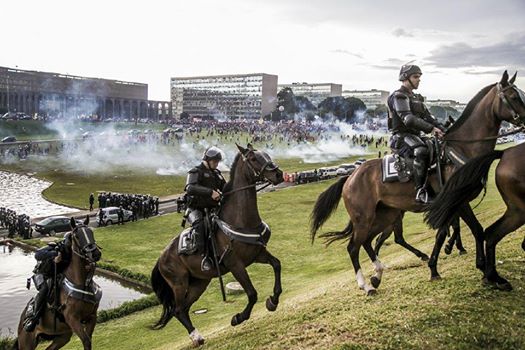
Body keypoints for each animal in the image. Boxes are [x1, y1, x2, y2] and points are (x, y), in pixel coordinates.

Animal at [13, 216, 102, 350]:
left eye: (91, 232)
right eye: (77, 235)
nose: (95, 253)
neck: (82, 283)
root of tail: (22, 319)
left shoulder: (92, 316)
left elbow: (88, 340)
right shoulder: (73, 319)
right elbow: (86, 341)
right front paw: (56, 257)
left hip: (62, 336)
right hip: (27, 342)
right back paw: (30, 322)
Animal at [150, 144, 282, 348]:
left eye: (266, 155)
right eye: (253, 159)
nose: (279, 174)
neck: (240, 220)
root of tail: (161, 258)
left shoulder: (258, 254)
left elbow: (277, 265)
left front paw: (273, 301)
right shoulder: (235, 265)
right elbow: (252, 293)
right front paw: (238, 318)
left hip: (199, 283)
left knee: (184, 308)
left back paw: (197, 336)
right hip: (179, 283)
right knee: (178, 309)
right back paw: (196, 337)